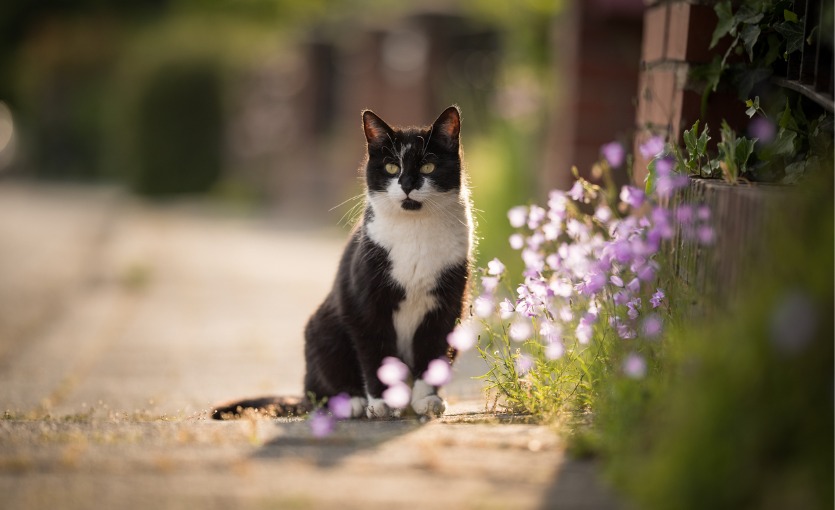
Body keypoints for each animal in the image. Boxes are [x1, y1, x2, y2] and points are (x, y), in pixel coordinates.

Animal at [212, 105, 474, 420]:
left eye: (428, 167)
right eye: (391, 168)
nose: (407, 185)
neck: (415, 231)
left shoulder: (447, 305)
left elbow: (433, 352)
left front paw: (427, 399)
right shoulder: (365, 305)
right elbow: (376, 355)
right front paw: (383, 403)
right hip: (323, 330)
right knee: (318, 392)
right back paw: (351, 403)